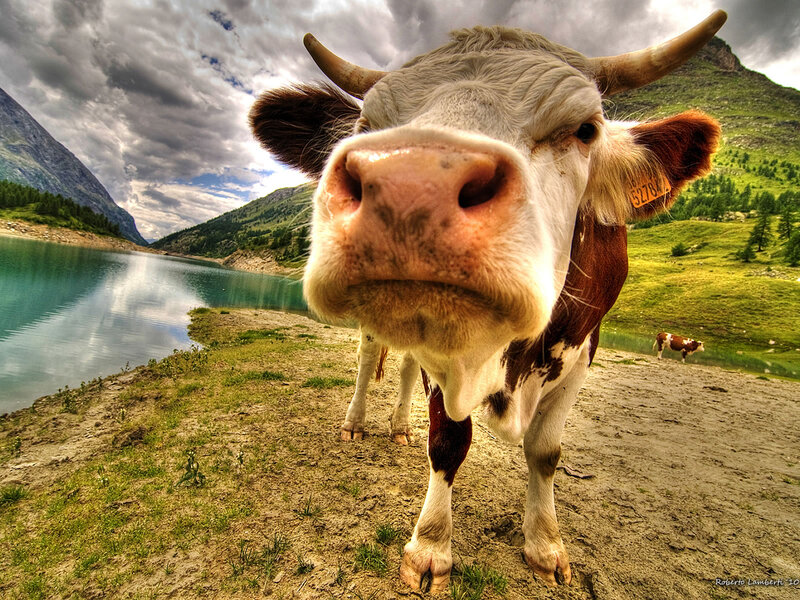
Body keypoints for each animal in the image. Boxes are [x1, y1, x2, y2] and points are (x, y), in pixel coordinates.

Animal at [249, 10, 726, 592]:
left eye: (586, 130)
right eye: (367, 129)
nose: (410, 185)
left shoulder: (584, 349)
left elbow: (545, 452)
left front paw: (545, 545)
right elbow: (448, 441)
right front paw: (430, 547)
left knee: (403, 367)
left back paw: (399, 427)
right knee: (369, 359)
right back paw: (357, 421)